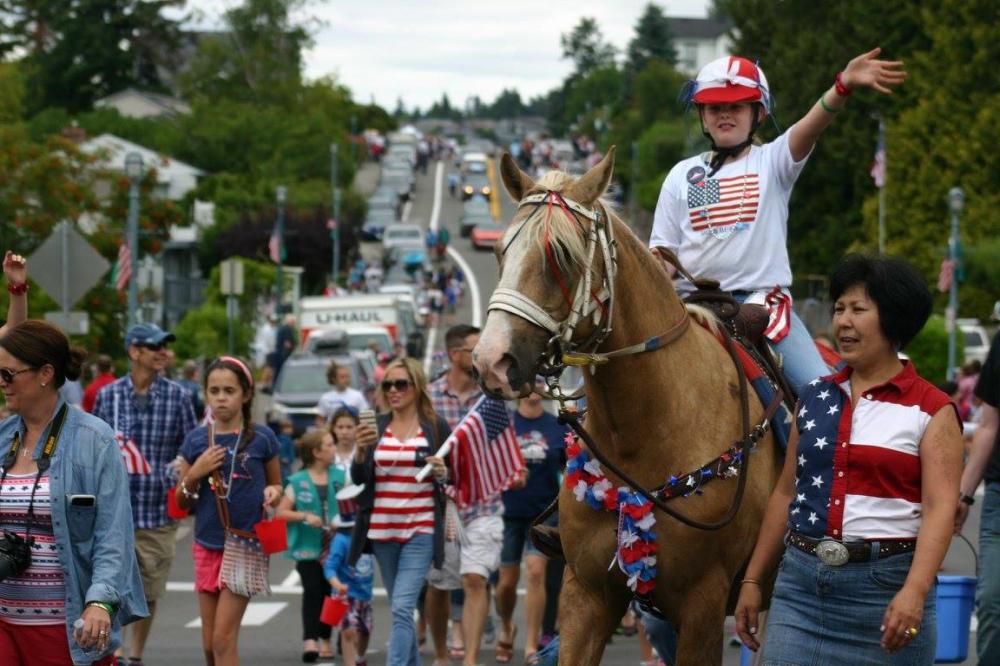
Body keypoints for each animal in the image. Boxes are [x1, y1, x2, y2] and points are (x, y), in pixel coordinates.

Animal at [472, 150, 784, 664]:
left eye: (562, 256)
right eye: (499, 252)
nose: (491, 360)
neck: (644, 433)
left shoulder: (703, 608)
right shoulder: (586, 595)